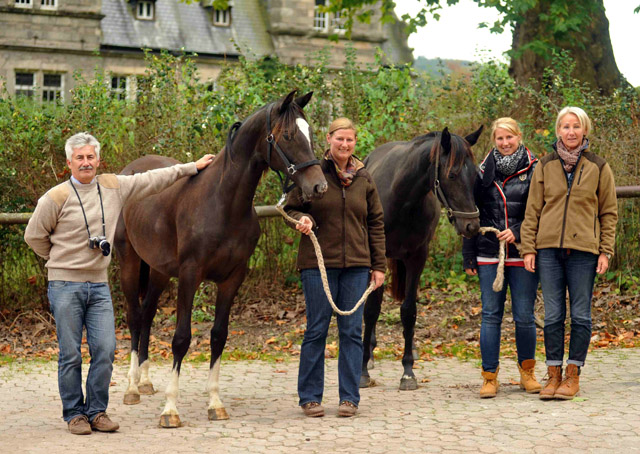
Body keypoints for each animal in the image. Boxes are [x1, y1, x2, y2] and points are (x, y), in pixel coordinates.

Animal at [112, 90, 328, 428]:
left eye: (311, 134)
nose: (318, 187)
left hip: (159, 271)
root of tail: (129, 172)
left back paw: (145, 382)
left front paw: (215, 403)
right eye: (289, 135)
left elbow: (218, 336)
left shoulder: (232, 279)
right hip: (130, 263)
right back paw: (133, 387)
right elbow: (181, 338)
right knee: (134, 317)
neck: (222, 202)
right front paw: (170, 410)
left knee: (146, 315)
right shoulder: (190, 276)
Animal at [360, 127, 480, 390]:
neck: (402, 198)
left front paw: (408, 371)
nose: (472, 226)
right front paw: (362, 370)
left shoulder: (417, 258)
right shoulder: (377, 257)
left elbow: (409, 311)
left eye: (476, 175)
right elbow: (372, 309)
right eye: (452, 175)